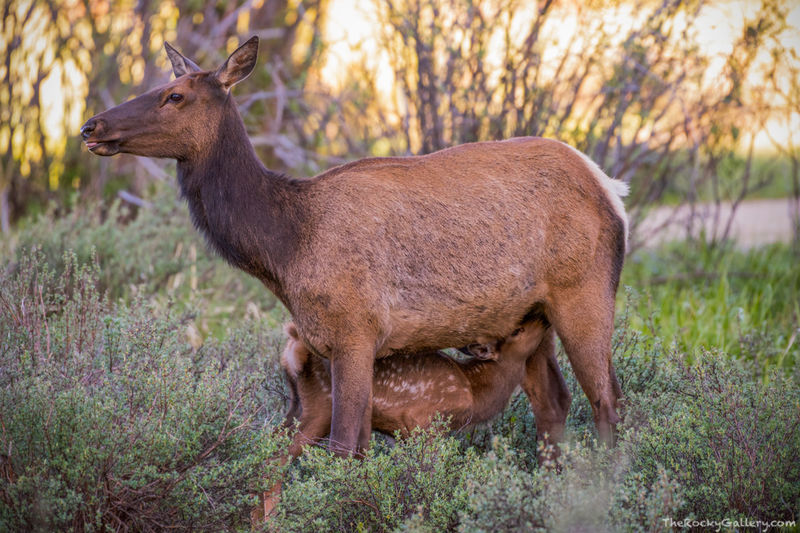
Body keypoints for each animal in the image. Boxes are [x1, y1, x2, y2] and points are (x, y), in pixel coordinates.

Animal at [81, 36, 628, 458]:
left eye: (174, 95)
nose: (91, 126)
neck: (285, 249)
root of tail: (611, 188)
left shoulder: (355, 330)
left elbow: (344, 447)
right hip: (530, 315)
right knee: (554, 403)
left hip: (585, 293)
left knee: (608, 403)